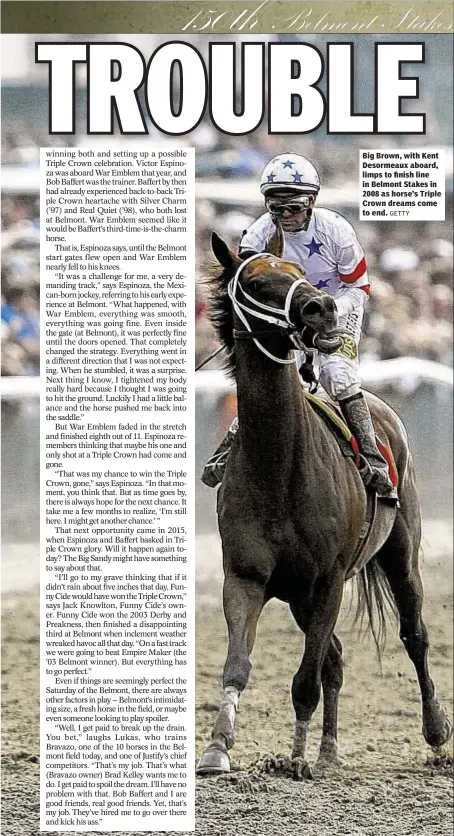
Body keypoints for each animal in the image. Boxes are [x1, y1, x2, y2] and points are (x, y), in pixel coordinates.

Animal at [197, 230, 452, 776]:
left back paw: (436, 731)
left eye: (296, 272)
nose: (322, 308)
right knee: (334, 657)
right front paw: (219, 748)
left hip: (400, 553)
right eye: (255, 282)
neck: (280, 469)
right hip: (298, 597)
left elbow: (304, 680)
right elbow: (238, 665)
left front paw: (293, 761)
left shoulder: (329, 580)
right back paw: (329, 750)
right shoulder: (245, 577)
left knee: (414, 635)